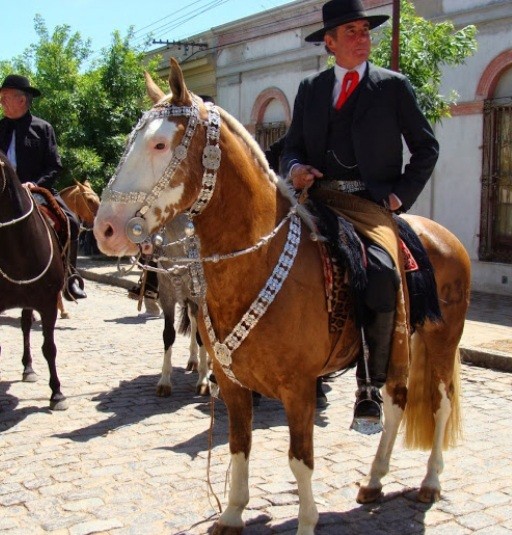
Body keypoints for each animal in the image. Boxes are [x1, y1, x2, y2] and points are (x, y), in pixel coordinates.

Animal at [93, 60, 472, 532]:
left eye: (160, 143)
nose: (104, 228)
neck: (257, 261)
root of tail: (440, 235)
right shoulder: (233, 385)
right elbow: (239, 446)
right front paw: (233, 512)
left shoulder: (299, 389)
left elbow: (299, 460)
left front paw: (307, 521)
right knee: (398, 402)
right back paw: (374, 480)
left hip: (441, 342)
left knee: (439, 403)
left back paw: (431, 481)